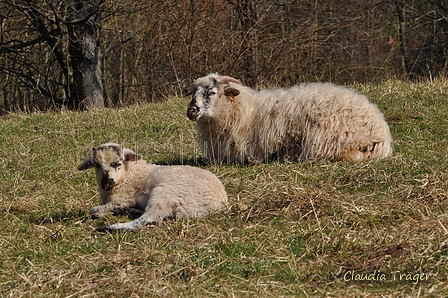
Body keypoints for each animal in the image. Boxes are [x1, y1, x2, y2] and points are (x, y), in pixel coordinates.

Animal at [77, 143, 229, 233]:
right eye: (96, 165)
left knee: (150, 218)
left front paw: (101, 213)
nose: (106, 183)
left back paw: (109, 227)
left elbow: (93, 210)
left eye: (117, 163)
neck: (130, 174)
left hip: (167, 192)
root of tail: (218, 203)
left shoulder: (124, 199)